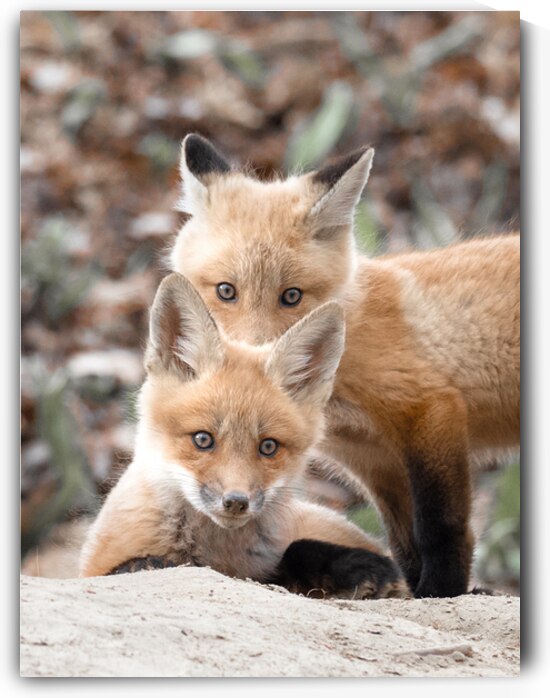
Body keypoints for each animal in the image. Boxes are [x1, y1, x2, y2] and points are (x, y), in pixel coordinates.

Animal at [79, 272, 410, 600]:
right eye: (203, 439)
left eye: (268, 446)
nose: (236, 502)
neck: (216, 552)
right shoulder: (94, 568)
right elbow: (132, 566)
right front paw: (150, 562)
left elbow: (295, 550)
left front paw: (362, 568)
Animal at [169, 134, 520, 598]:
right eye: (226, 291)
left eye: (292, 296)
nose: (252, 365)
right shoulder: (374, 458)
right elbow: (405, 544)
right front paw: (412, 591)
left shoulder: (431, 410)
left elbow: (441, 530)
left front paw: (442, 591)